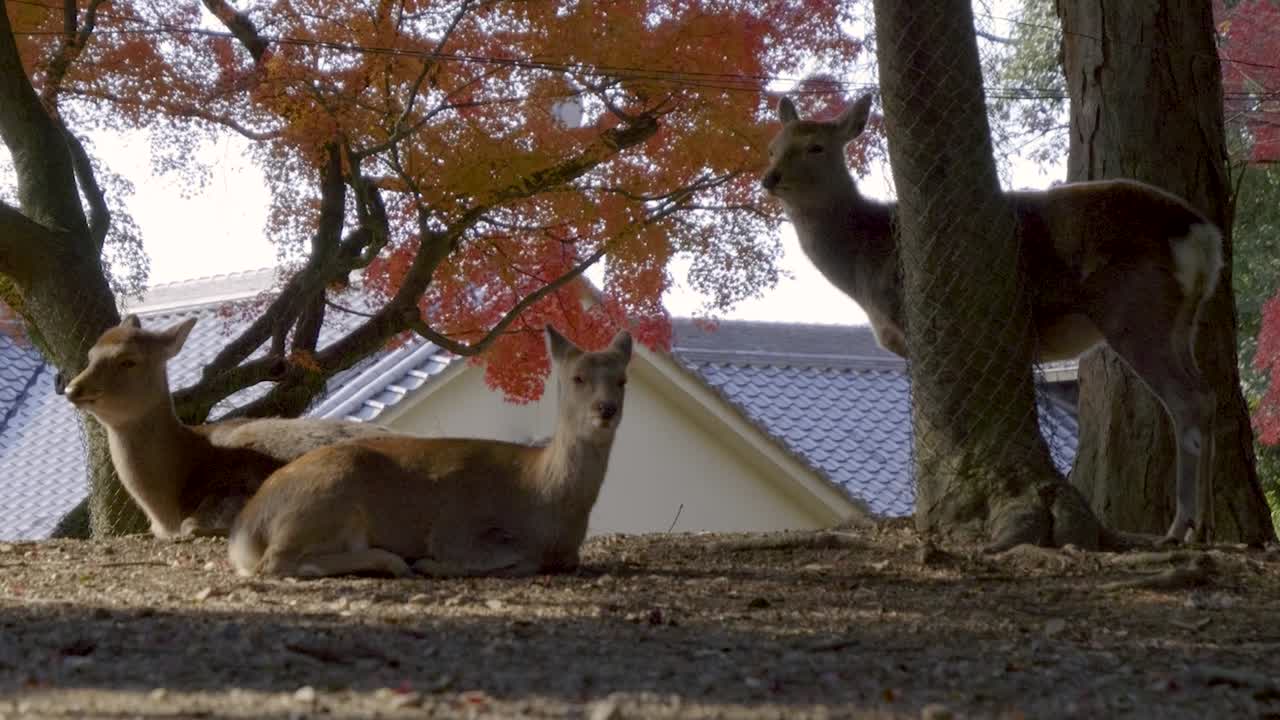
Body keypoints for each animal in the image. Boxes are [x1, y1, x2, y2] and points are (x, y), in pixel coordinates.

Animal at [227, 325, 633, 578]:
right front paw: (431, 564)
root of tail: (246, 525)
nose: (606, 409)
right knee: (276, 562)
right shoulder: (459, 526)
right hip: (325, 496)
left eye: (622, 380)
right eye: (577, 377)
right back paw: (394, 562)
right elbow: (513, 557)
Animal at [761, 94, 1223, 544]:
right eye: (774, 146)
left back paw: (1179, 528)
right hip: (1184, 319)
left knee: (1187, 400)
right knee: (1207, 395)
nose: (770, 177)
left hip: (1135, 310)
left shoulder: (915, 325)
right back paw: (1205, 526)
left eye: (816, 147)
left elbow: (930, 419)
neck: (864, 261)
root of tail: (1201, 232)